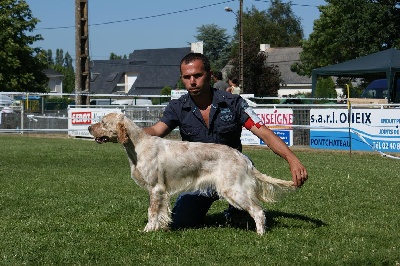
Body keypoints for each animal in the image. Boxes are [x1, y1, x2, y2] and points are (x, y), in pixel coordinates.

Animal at [88, 112, 294, 235]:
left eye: (103, 123)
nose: (89, 128)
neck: (137, 146)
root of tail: (243, 158)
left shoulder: (156, 188)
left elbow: (152, 212)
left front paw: (148, 230)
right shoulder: (161, 191)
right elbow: (161, 213)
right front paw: (161, 227)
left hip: (233, 190)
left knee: (258, 211)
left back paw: (260, 234)